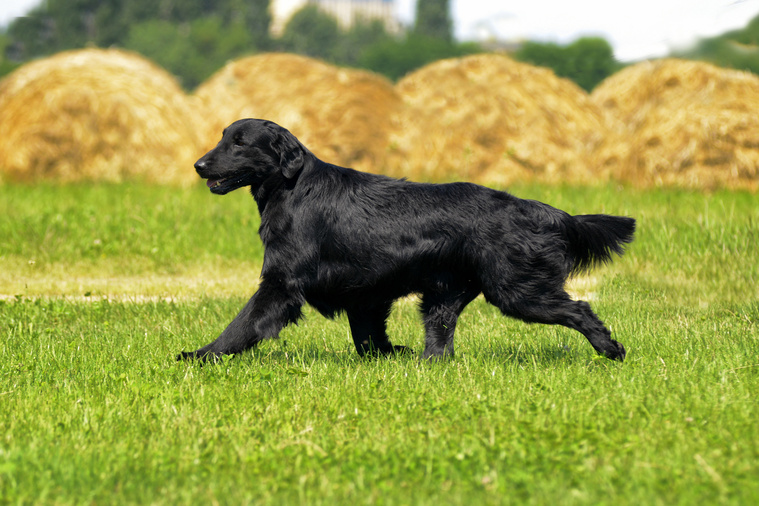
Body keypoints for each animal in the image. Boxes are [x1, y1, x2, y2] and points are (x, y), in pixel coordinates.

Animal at [180, 117, 636, 364]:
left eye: (240, 142)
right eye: (222, 137)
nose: (198, 165)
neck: (293, 188)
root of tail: (532, 207)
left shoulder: (281, 283)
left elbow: (243, 324)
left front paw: (201, 355)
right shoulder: (364, 293)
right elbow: (367, 338)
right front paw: (389, 355)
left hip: (516, 291)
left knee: (580, 308)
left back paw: (610, 349)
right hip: (443, 296)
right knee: (441, 341)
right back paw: (425, 363)